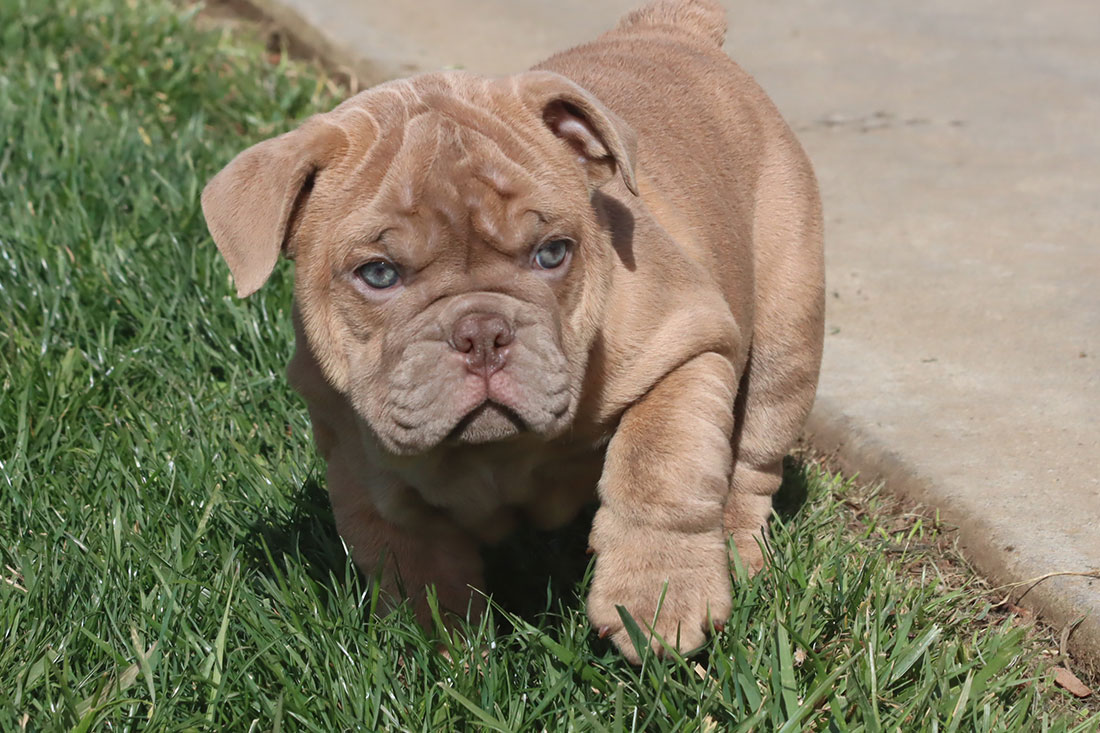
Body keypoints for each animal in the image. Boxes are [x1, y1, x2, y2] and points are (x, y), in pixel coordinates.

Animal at [202, 0, 827, 660]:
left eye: (553, 254)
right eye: (378, 273)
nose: (482, 332)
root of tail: (671, 28)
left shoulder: (688, 345)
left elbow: (660, 468)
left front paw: (656, 598)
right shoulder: (359, 464)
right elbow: (412, 564)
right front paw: (445, 655)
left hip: (786, 335)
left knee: (752, 456)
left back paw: (738, 551)